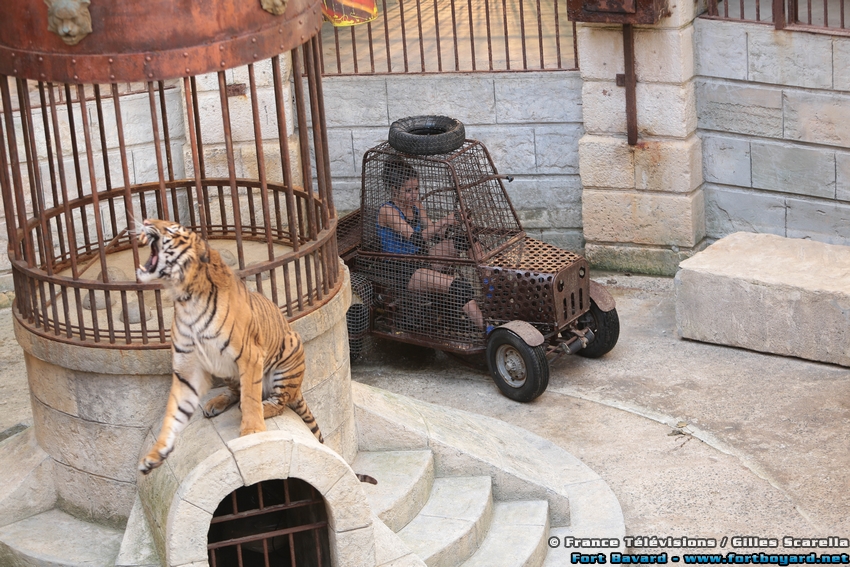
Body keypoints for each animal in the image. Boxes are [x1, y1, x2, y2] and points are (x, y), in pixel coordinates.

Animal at [135, 219, 322, 475]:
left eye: (172, 229)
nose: (145, 221)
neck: (185, 299)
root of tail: (298, 389)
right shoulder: (186, 368)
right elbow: (173, 414)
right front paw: (154, 455)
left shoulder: (250, 355)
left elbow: (251, 398)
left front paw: (253, 431)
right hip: (226, 370)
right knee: (236, 392)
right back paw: (215, 403)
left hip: (290, 351)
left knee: (279, 402)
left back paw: (263, 407)